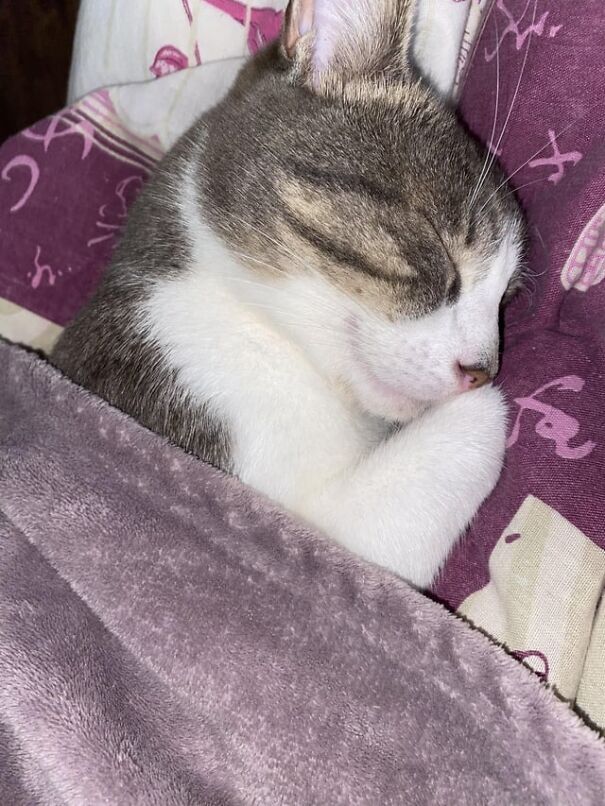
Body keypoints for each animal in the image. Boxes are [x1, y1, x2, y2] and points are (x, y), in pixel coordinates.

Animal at [52, 1, 524, 592]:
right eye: (437, 249)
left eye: (506, 298)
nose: (482, 369)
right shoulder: (314, 537)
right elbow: (483, 422)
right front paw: (491, 403)